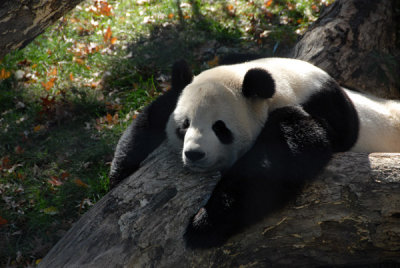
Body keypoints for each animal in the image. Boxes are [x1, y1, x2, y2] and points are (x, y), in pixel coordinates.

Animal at [108, 57, 400, 248]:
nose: (194, 154)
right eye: (184, 125)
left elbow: (277, 161)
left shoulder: (317, 110)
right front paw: (118, 177)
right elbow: (150, 118)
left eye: (220, 128)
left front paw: (203, 225)